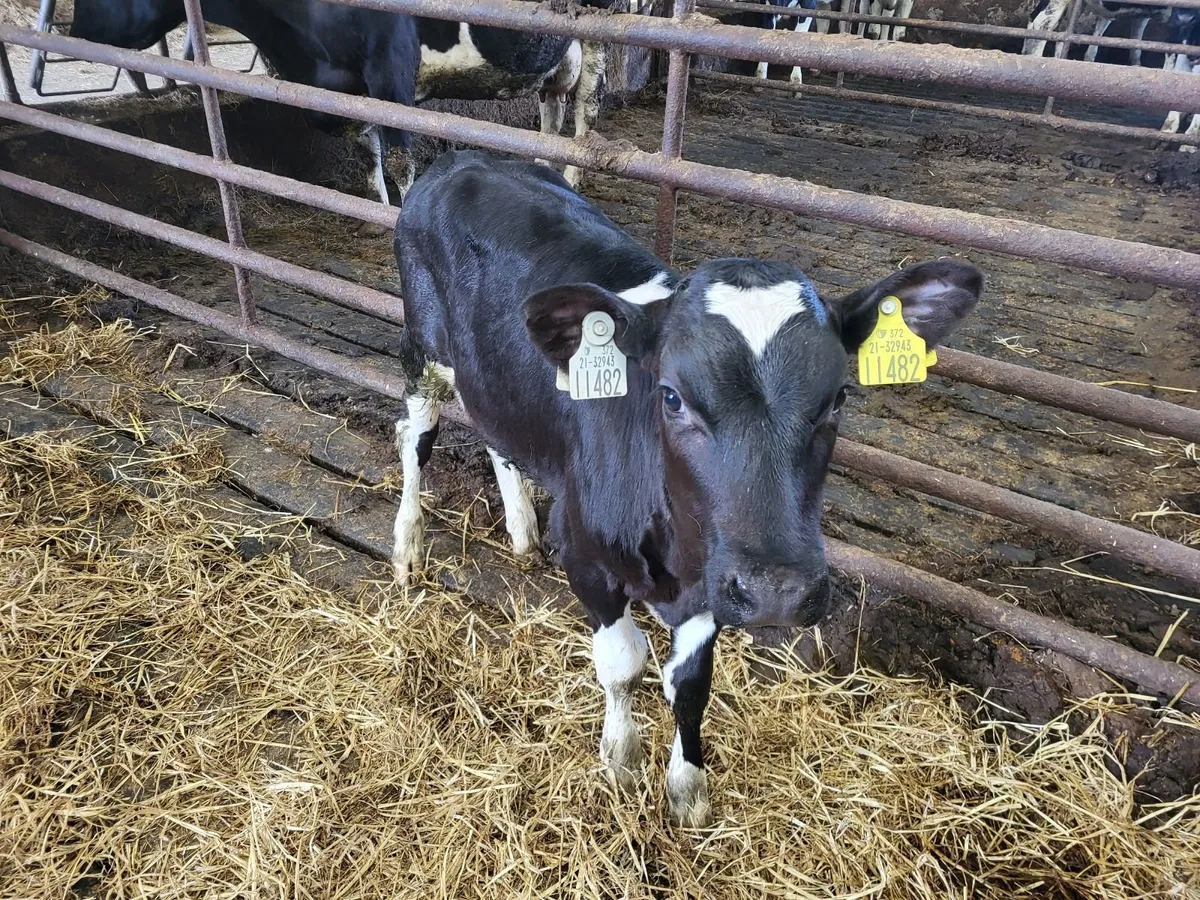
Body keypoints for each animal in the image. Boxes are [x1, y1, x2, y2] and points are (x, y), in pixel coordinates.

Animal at [68, 0, 616, 203]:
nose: (75, 29)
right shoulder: (344, 94)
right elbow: (368, 162)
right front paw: (378, 212)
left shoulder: (392, 75)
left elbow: (398, 162)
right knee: (551, 111)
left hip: (601, 31)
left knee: (585, 114)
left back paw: (573, 178)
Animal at [391, 149, 984, 827]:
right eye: (671, 396)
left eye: (838, 397)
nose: (778, 592)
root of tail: (462, 157)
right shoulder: (588, 557)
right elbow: (623, 664)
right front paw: (621, 761)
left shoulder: (714, 579)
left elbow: (692, 685)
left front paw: (687, 791)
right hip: (423, 349)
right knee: (415, 436)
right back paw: (407, 547)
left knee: (495, 431)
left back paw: (519, 528)